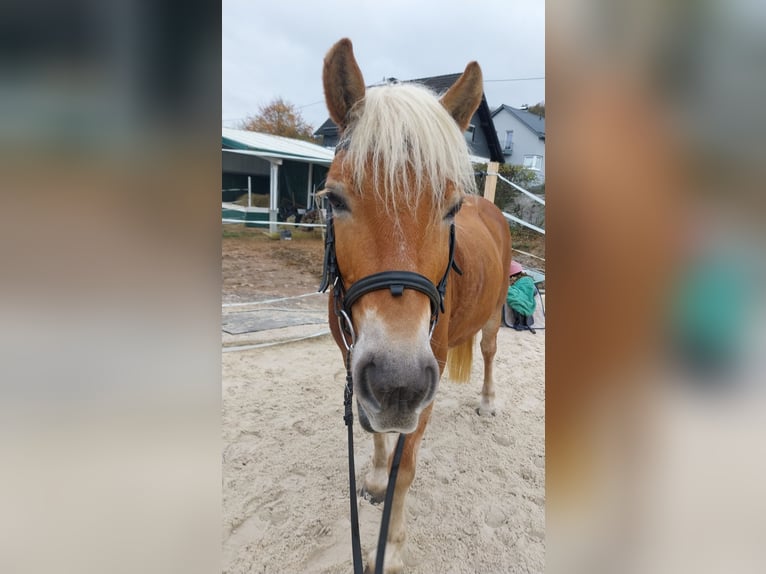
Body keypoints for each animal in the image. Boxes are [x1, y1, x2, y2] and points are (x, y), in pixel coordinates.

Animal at [320, 38, 512, 572]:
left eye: (450, 208)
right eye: (333, 199)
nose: (398, 381)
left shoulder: (431, 368)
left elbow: (406, 467)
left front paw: (393, 547)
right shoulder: (354, 359)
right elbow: (375, 431)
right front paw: (374, 477)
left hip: (494, 316)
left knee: (489, 352)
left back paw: (487, 401)